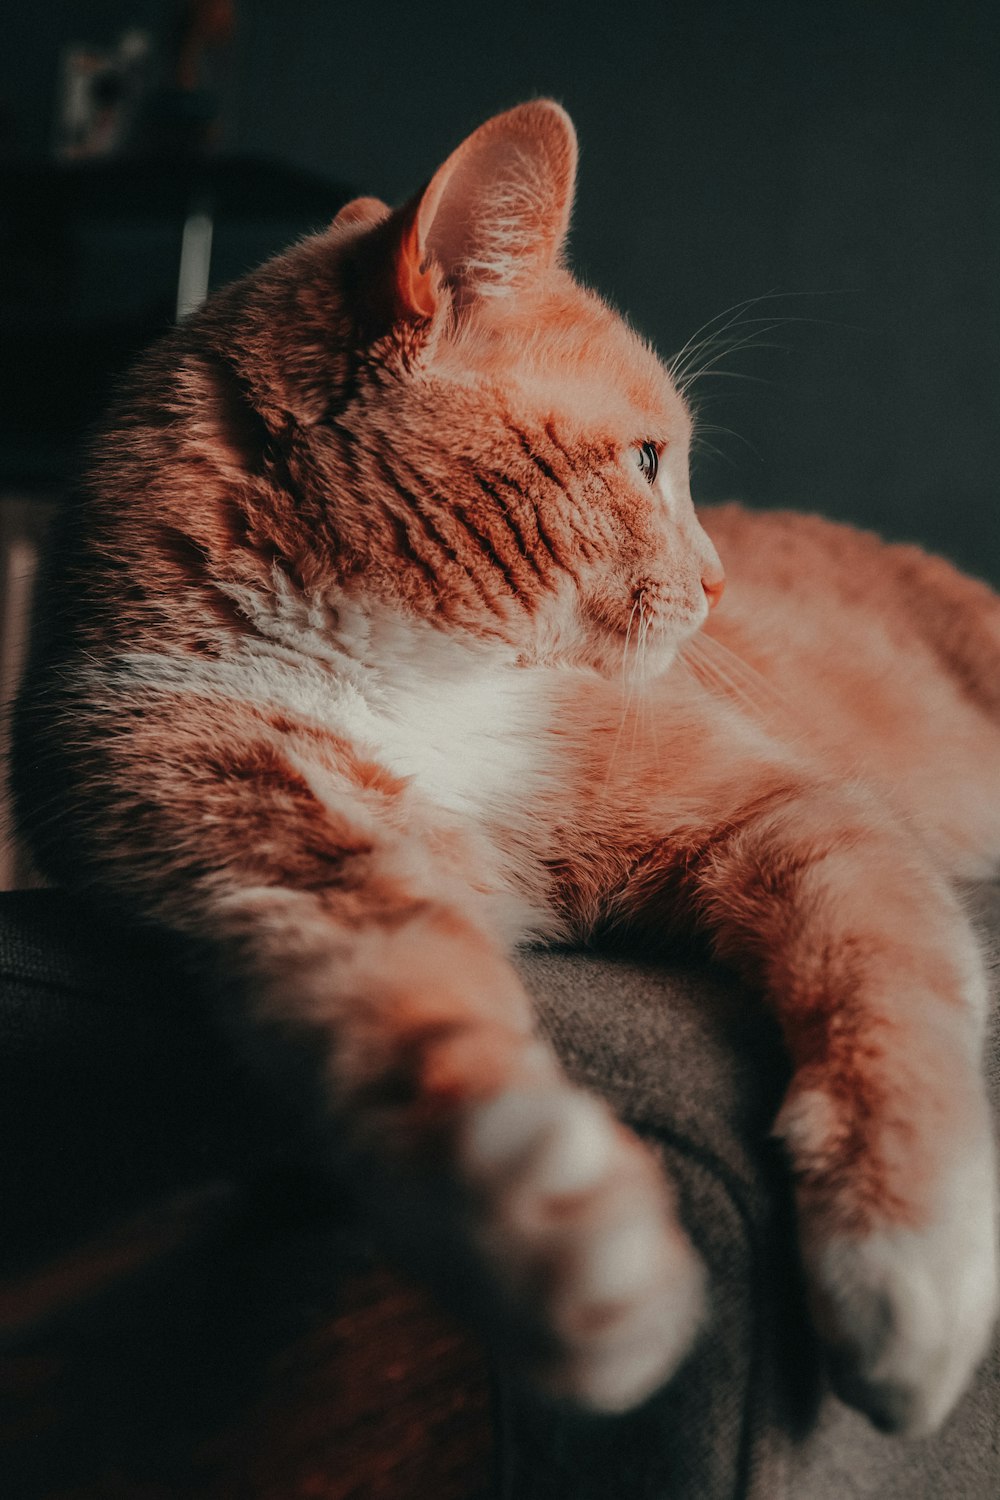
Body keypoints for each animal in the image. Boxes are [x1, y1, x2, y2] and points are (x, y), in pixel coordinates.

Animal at [11, 99, 995, 1434]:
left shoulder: (794, 814)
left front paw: (905, 1265)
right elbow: (413, 1025)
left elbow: (885, 992)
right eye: (647, 462)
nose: (717, 580)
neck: (407, 677)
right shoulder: (279, 861)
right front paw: (563, 1242)